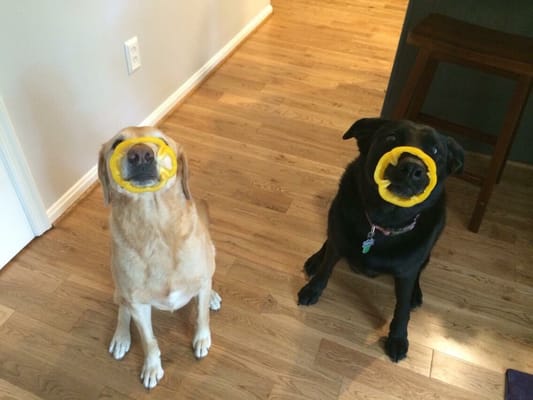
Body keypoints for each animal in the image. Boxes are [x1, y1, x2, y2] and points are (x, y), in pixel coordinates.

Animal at [97, 127, 220, 388]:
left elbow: (202, 316)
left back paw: (213, 296)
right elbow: (149, 341)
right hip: (120, 289)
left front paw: (202, 339)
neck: (155, 227)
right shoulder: (138, 304)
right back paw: (121, 336)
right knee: (122, 309)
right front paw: (152, 367)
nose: (140, 155)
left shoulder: (200, 281)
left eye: (161, 141)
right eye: (117, 143)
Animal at [298, 118, 464, 362]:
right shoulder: (338, 239)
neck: (383, 223)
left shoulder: (406, 272)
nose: (412, 168)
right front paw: (313, 288)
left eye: (435, 151)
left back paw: (416, 294)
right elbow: (326, 268)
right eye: (391, 138)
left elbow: (402, 308)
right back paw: (315, 260)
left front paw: (398, 338)